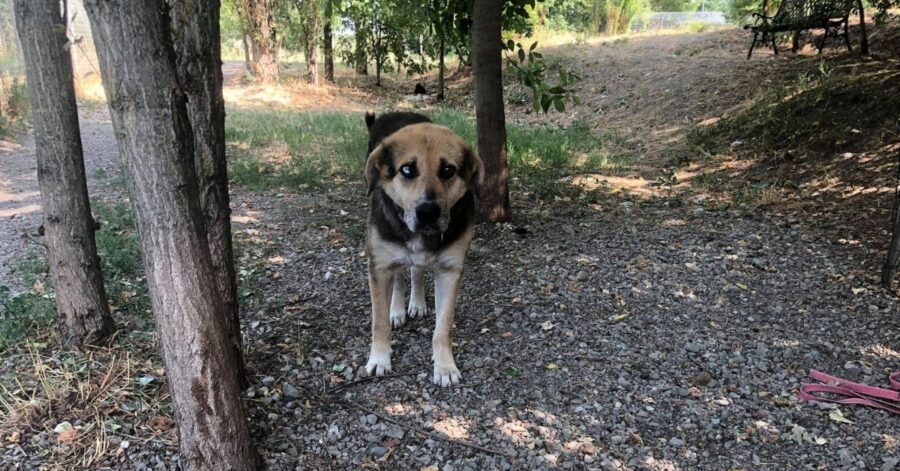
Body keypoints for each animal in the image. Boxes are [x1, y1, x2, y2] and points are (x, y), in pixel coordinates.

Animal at [362, 112, 486, 390]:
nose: (428, 212)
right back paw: (397, 309)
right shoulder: (378, 267)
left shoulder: (450, 271)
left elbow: (443, 326)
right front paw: (379, 358)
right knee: (399, 275)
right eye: (407, 169)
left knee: (416, 270)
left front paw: (445, 366)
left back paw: (416, 303)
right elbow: (379, 322)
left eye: (448, 170)